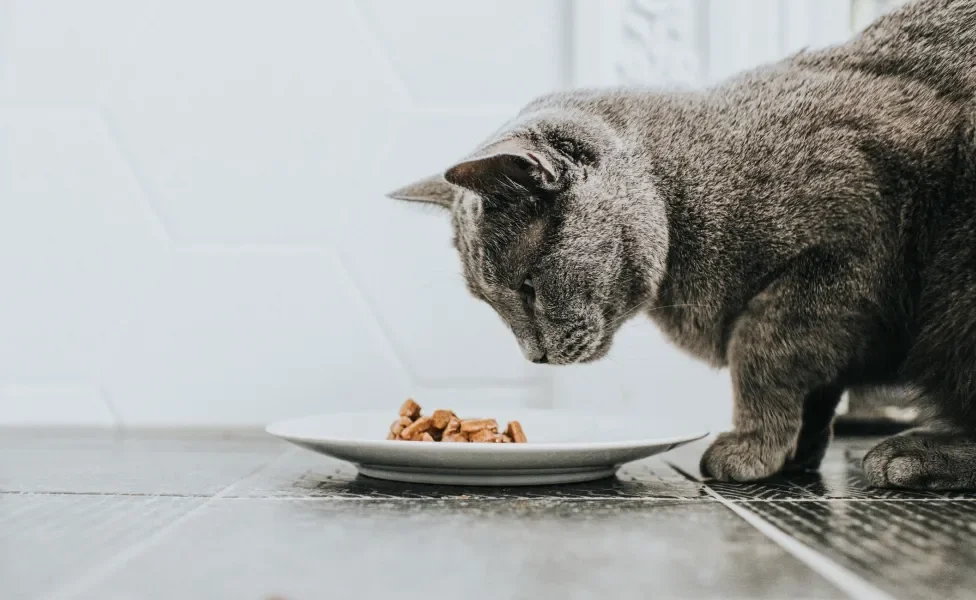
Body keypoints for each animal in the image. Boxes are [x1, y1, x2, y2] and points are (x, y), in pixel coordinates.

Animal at [386, 0, 976, 490]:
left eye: (528, 287)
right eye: (489, 302)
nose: (534, 357)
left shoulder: (846, 245)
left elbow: (761, 350)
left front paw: (751, 447)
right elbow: (816, 386)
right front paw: (794, 454)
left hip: (956, 280)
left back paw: (914, 455)